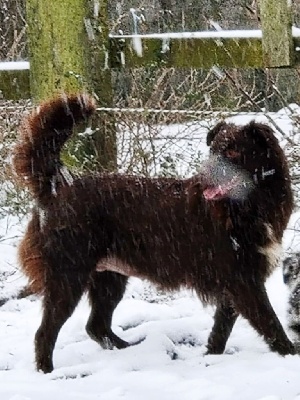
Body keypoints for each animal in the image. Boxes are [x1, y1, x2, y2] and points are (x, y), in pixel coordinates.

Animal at [12, 94, 296, 372]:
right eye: (212, 151)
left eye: (233, 151)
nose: (203, 176)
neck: (247, 204)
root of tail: (57, 186)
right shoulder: (243, 280)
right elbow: (269, 322)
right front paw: (291, 355)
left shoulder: (235, 281)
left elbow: (221, 329)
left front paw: (211, 356)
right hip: (68, 275)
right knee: (45, 333)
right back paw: (47, 371)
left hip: (109, 277)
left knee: (96, 326)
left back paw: (130, 352)